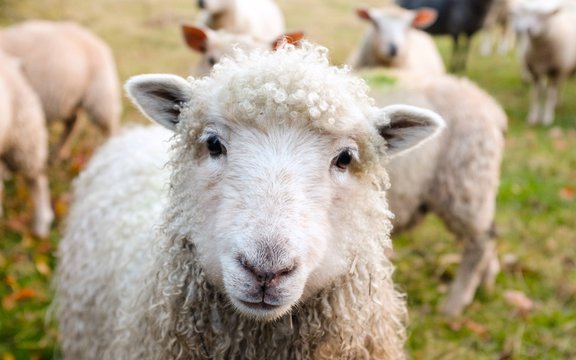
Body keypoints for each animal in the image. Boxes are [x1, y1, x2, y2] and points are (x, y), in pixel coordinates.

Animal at [0, 20, 121, 159]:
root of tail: (96, 40)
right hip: (70, 100)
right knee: (72, 123)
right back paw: (57, 154)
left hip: (101, 97)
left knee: (110, 126)